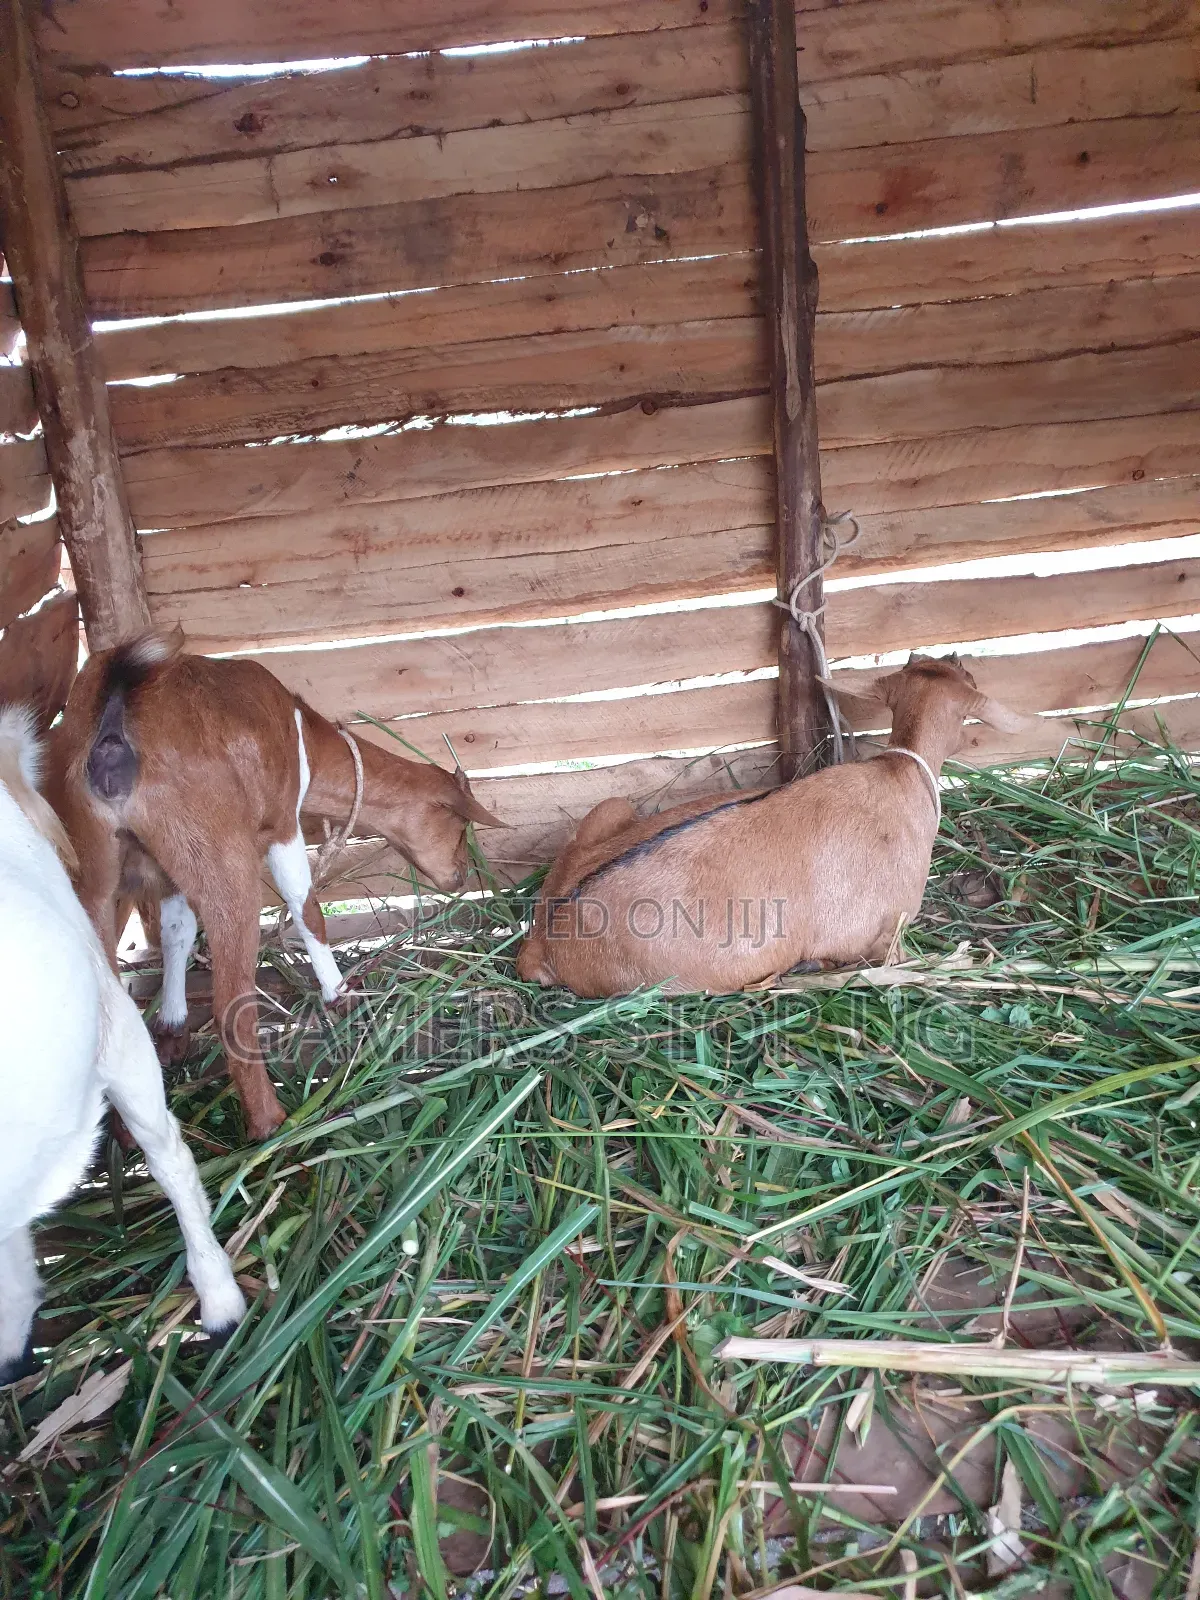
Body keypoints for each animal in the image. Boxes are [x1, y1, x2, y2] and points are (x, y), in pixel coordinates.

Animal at [50, 629, 500, 1141]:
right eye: (461, 827)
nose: (461, 876)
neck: (304, 736)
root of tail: (110, 733)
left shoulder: (165, 866)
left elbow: (177, 933)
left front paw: (172, 1024)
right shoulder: (283, 821)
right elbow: (307, 909)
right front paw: (340, 994)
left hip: (90, 870)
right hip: (224, 860)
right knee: (230, 1002)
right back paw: (273, 1126)